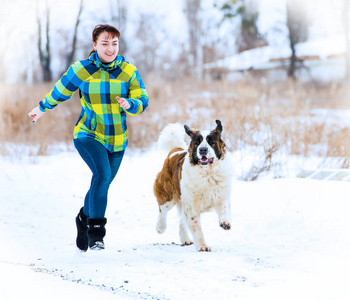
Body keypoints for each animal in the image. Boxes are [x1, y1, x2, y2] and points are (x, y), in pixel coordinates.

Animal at [153, 119, 232, 251]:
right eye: (197, 143)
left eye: (211, 142)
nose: (203, 149)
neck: (207, 173)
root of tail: (175, 150)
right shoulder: (191, 205)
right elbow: (196, 227)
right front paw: (203, 246)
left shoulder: (221, 195)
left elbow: (224, 209)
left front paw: (225, 223)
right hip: (168, 195)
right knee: (162, 210)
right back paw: (160, 227)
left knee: (181, 220)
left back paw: (185, 239)